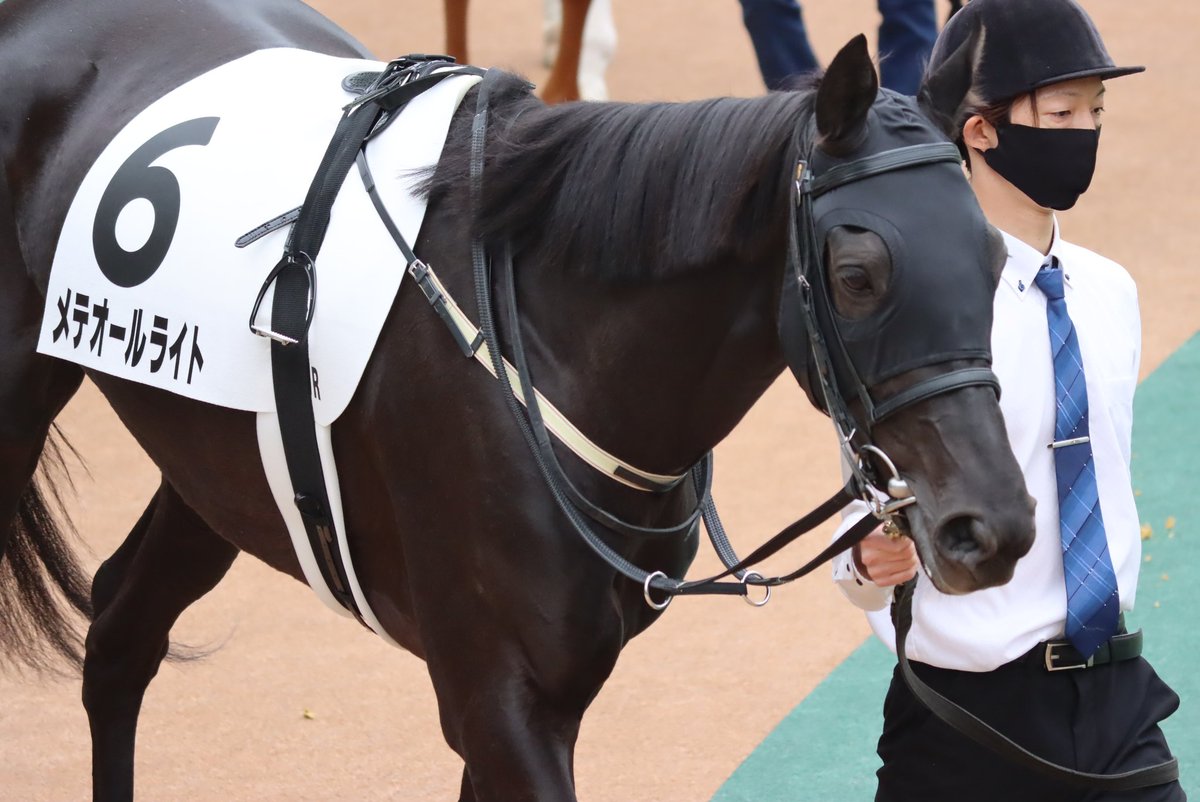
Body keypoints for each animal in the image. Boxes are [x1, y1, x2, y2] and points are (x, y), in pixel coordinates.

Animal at [0, 0, 1036, 798]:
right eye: (858, 274)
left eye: (994, 259)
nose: (992, 528)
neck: (542, 348)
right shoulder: (499, 693)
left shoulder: (547, 689)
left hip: (220, 461)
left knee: (122, 627)